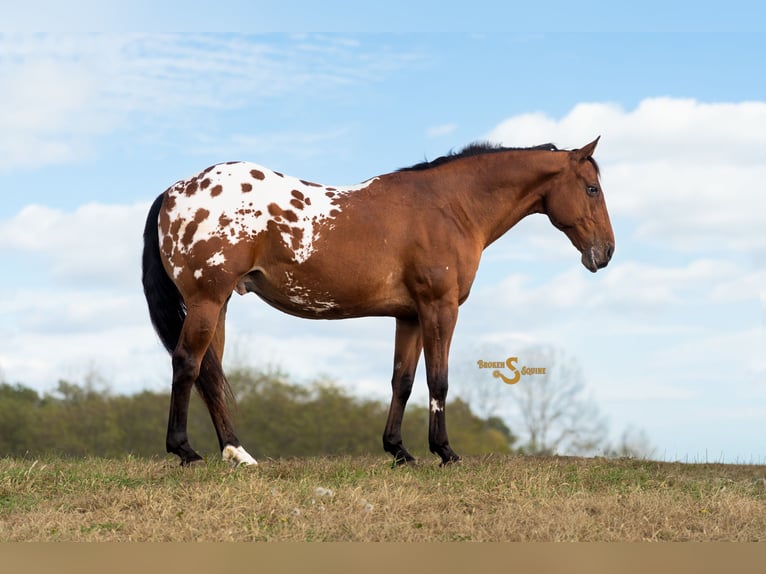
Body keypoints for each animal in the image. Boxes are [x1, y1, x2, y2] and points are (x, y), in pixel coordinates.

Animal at [141, 137, 614, 467]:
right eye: (592, 189)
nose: (606, 252)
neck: (449, 207)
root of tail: (174, 192)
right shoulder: (440, 308)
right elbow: (438, 380)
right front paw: (445, 452)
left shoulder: (409, 316)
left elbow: (402, 381)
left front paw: (399, 451)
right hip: (206, 301)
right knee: (187, 364)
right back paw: (185, 451)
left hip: (218, 305)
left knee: (210, 373)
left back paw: (237, 453)